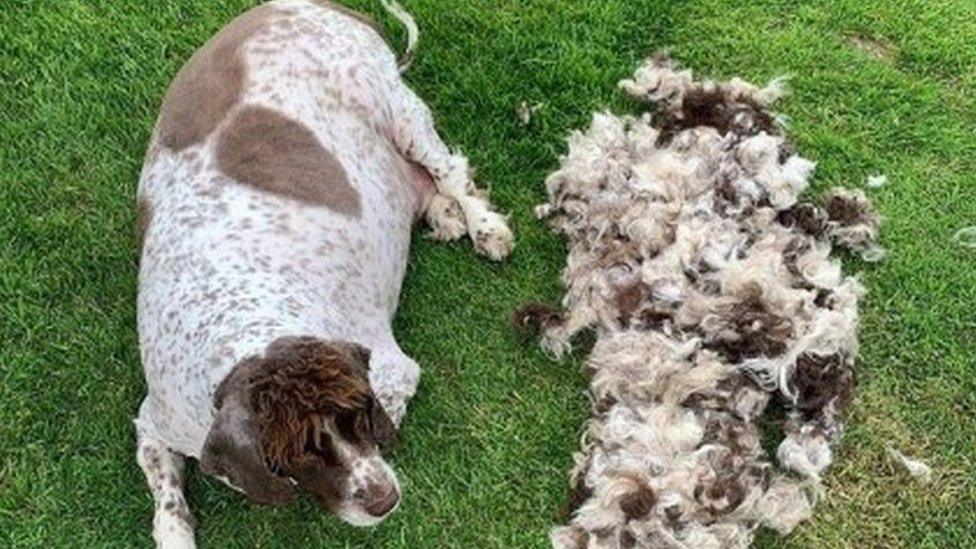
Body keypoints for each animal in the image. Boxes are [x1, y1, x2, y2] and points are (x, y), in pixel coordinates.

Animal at [134, 2, 516, 544]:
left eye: (358, 413)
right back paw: (444, 214)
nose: (384, 501)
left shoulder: (391, 371)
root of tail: (317, 6)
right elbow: (166, 493)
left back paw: (482, 225)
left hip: (399, 110)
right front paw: (173, 532)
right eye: (301, 449)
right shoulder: (154, 420)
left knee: (450, 169)